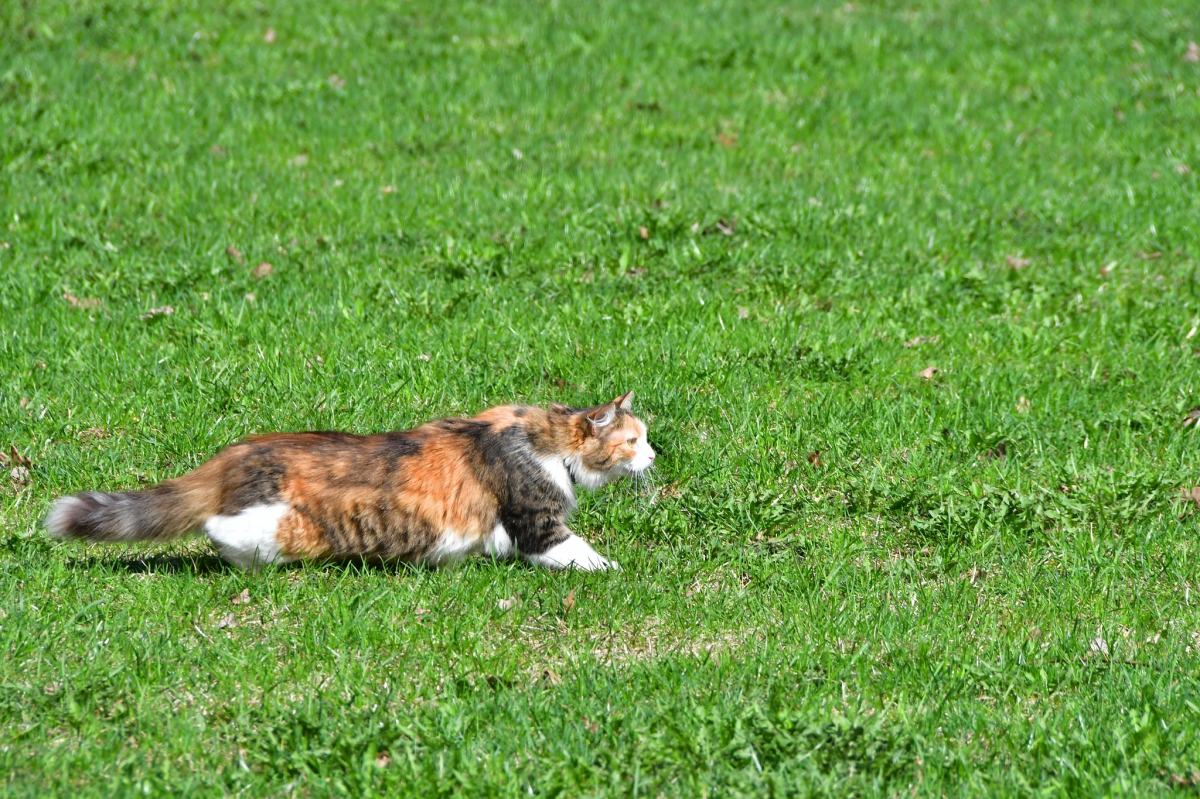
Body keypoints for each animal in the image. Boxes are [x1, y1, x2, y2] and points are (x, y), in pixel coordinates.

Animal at [44, 391, 657, 568]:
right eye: (633, 440)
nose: (654, 455)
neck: (544, 438)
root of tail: (233, 454)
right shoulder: (536, 520)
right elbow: (577, 551)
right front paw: (613, 570)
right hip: (299, 530)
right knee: (223, 530)